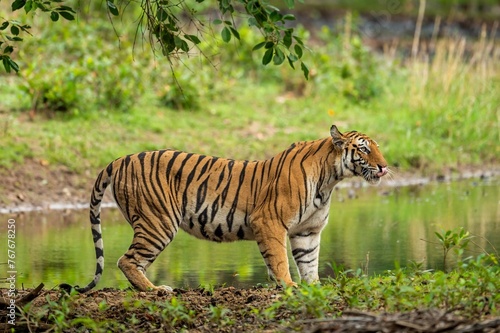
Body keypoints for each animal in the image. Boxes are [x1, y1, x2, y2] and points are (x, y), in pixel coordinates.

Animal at [62, 125, 388, 294]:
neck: (330, 180)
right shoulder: (269, 222)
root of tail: (122, 158)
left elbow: (309, 263)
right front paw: (288, 285)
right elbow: (280, 260)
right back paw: (156, 290)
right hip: (158, 222)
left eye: (377, 147)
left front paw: (314, 287)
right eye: (364, 149)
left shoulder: (307, 231)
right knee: (126, 260)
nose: (385, 167)